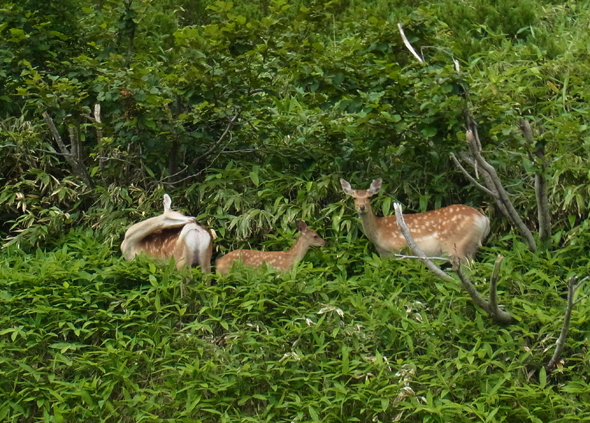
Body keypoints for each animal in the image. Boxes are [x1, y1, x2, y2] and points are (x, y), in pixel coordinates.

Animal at [340, 177, 492, 260]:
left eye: (369, 197)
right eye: (353, 198)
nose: (361, 207)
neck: (379, 232)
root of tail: (483, 218)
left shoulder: (401, 248)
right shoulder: (384, 255)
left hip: (454, 244)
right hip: (471, 247)